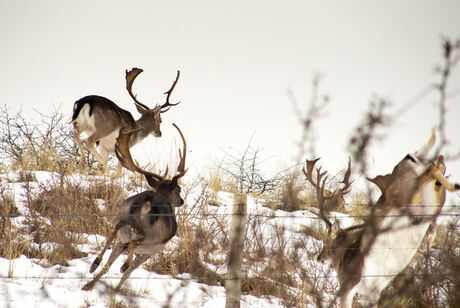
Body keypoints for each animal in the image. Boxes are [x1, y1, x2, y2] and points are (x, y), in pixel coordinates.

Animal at [81, 122, 187, 292]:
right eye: (178, 190)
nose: (182, 201)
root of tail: (149, 202)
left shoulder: (123, 240)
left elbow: (109, 265)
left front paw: (90, 284)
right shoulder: (150, 252)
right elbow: (128, 273)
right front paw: (117, 286)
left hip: (124, 216)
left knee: (119, 228)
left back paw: (94, 265)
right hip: (151, 236)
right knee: (135, 244)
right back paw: (122, 265)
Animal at [306, 131, 460, 308]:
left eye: (326, 239)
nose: (319, 258)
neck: (345, 257)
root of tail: (412, 157)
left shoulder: (349, 283)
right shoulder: (371, 294)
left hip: (404, 192)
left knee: (429, 172)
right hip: (433, 204)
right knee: (438, 166)